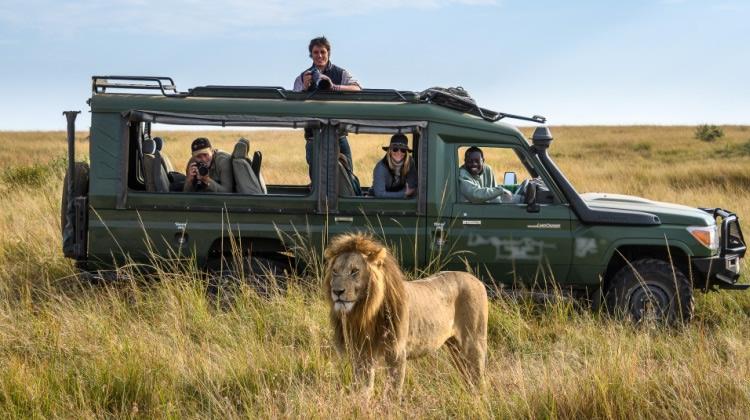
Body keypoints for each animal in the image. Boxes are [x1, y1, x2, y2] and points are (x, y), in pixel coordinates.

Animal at [324, 233, 490, 394]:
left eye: (354, 271)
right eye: (335, 271)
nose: (337, 292)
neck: (365, 313)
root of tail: (477, 280)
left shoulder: (396, 354)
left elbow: (392, 394)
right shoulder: (362, 355)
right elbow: (363, 391)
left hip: (474, 343)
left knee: (479, 380)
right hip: (455, 348)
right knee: (468, 378)